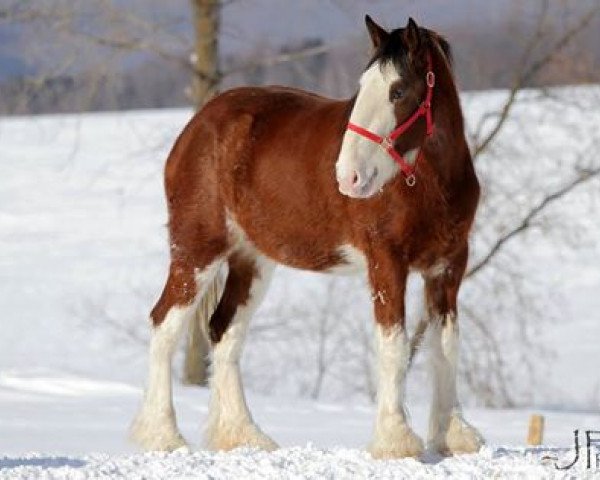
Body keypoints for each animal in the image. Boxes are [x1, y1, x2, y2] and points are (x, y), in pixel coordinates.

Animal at [130, 14, 482, 458]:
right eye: (362, 87)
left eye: (398, 91)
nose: (348, 177)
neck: (428, 183)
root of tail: (197, 126)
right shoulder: (386, 263)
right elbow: (394, 345)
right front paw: (395, 440)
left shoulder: (448, 266)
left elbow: (446, 345)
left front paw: (453, 435)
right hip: (197, 248)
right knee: (165, 324)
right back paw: (164, 436)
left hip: (252, 260)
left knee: (224, 332)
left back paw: (245, 435)